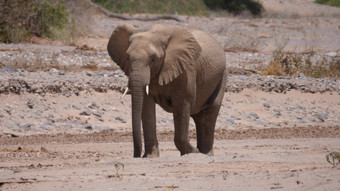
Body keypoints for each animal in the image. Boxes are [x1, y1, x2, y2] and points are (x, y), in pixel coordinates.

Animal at [108, 23, 226, 157]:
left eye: (153, 59)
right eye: (127, 57)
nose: (136, 155)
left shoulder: (186, 71)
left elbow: (182, 104)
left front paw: (192, 152)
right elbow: (147, 106)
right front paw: (150, 157)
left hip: (222, 76)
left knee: (209, 113)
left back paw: (205, 154)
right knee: (200, 117)